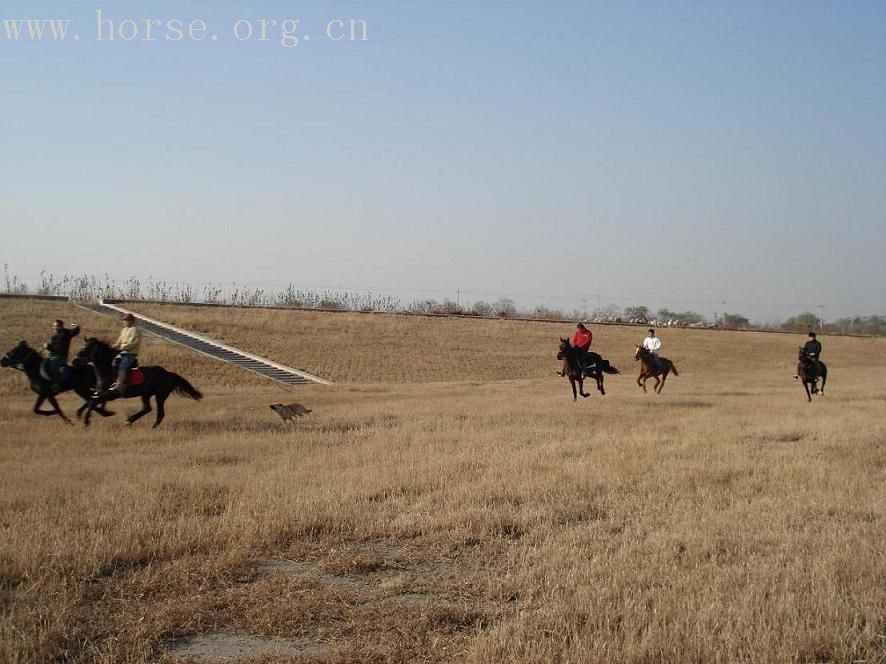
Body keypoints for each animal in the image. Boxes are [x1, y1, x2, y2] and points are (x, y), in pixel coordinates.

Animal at [73, 340, 206, 428]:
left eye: (86, 348)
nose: (75, 360)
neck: (109, 370)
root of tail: (168, 374)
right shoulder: (101, 393)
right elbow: (91, 401)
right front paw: (83, 416)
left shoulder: (111, 394)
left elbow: (93, 402)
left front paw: (87, 421)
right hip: (146, 395)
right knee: (147, 408)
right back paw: (130, 420)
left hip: (160, 396)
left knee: (160, 413)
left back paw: (151, 427)